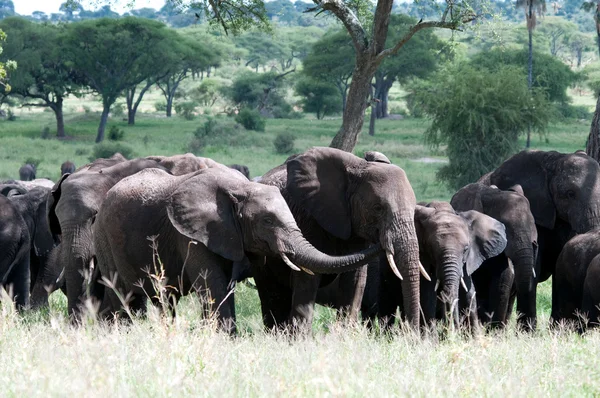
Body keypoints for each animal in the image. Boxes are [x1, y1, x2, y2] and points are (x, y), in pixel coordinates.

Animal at [91, 166, 378, 334]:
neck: (241, 188)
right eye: (268, 221)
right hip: (104, 236)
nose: (376, 240)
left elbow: (224, 286)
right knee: (121, 292)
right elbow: (213, 283)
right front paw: (225, 338)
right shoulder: (190, 234)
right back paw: (117, 333)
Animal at [255, 148, 424, 332]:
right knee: (272, 296)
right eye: (378, 208)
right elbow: (308, 276)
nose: (412, 333)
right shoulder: (308, 219)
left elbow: (355, 278)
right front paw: (301, 337)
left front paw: (344, 333)